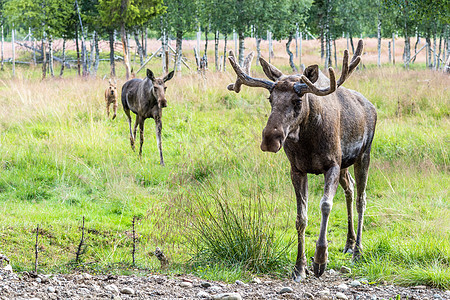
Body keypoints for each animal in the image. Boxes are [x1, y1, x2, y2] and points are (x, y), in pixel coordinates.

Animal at [227, 40, 378, 282]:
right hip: (345, 163)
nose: (270, 139)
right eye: (270, 99)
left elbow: (325, 205)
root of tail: (371, 106)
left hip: (363, 155)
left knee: (361, 198)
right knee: (351, 189)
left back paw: (358, 250)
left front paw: (320, 260)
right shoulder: (297, 169)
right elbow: (301, 217)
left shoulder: (332, 165)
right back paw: (349, 242)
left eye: (297, 100)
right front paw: (299, 266)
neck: (308, 140)